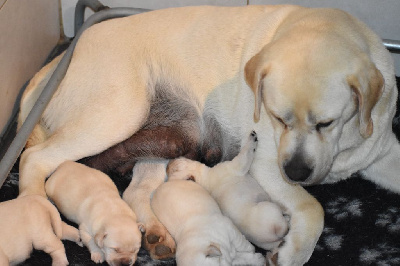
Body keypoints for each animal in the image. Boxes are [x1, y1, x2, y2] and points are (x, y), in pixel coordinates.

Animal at [17, 4, 398, 266]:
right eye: (278, 118)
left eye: (326, 123)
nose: (296, 172)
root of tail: (56, 63)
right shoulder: (267, 163)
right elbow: (313, 206)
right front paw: (292, 252)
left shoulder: (382, 150)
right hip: (118, 113)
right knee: (33, 158)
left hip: (167, 140)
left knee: (138, 190)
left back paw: (157, 234)